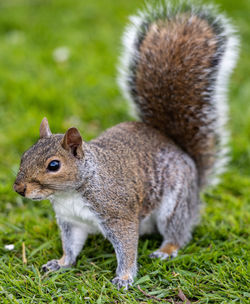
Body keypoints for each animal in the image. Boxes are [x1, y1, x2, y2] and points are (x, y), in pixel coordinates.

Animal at [12, 0, 238, 290]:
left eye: (54, 165)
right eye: (24, 155)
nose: (19, 189)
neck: (72, 192)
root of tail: (183, 155)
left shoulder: (119, 214)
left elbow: (127, 246)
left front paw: (125, 277)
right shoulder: (71, 221)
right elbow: (71, 246)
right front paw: (60, 263)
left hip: (175, 203)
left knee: (177, 231)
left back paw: (166, 250)